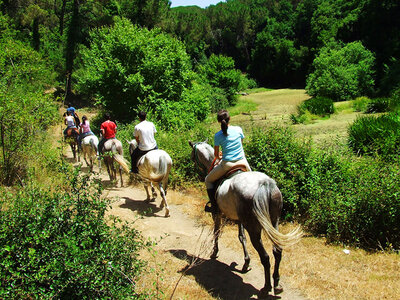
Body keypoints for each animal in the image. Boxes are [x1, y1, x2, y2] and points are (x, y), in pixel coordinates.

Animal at [189, 141, 302, 298]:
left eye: (193, 156)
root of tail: (265, 184)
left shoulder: (218, 214)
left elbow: (217, 232)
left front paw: (214, 252)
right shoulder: (240, 219)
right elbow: (241, 237)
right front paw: (246, 263)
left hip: (253, 228)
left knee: (265, 257)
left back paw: (266, 287)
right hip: (274, 222)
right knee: (277, 251)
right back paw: (277, 284)